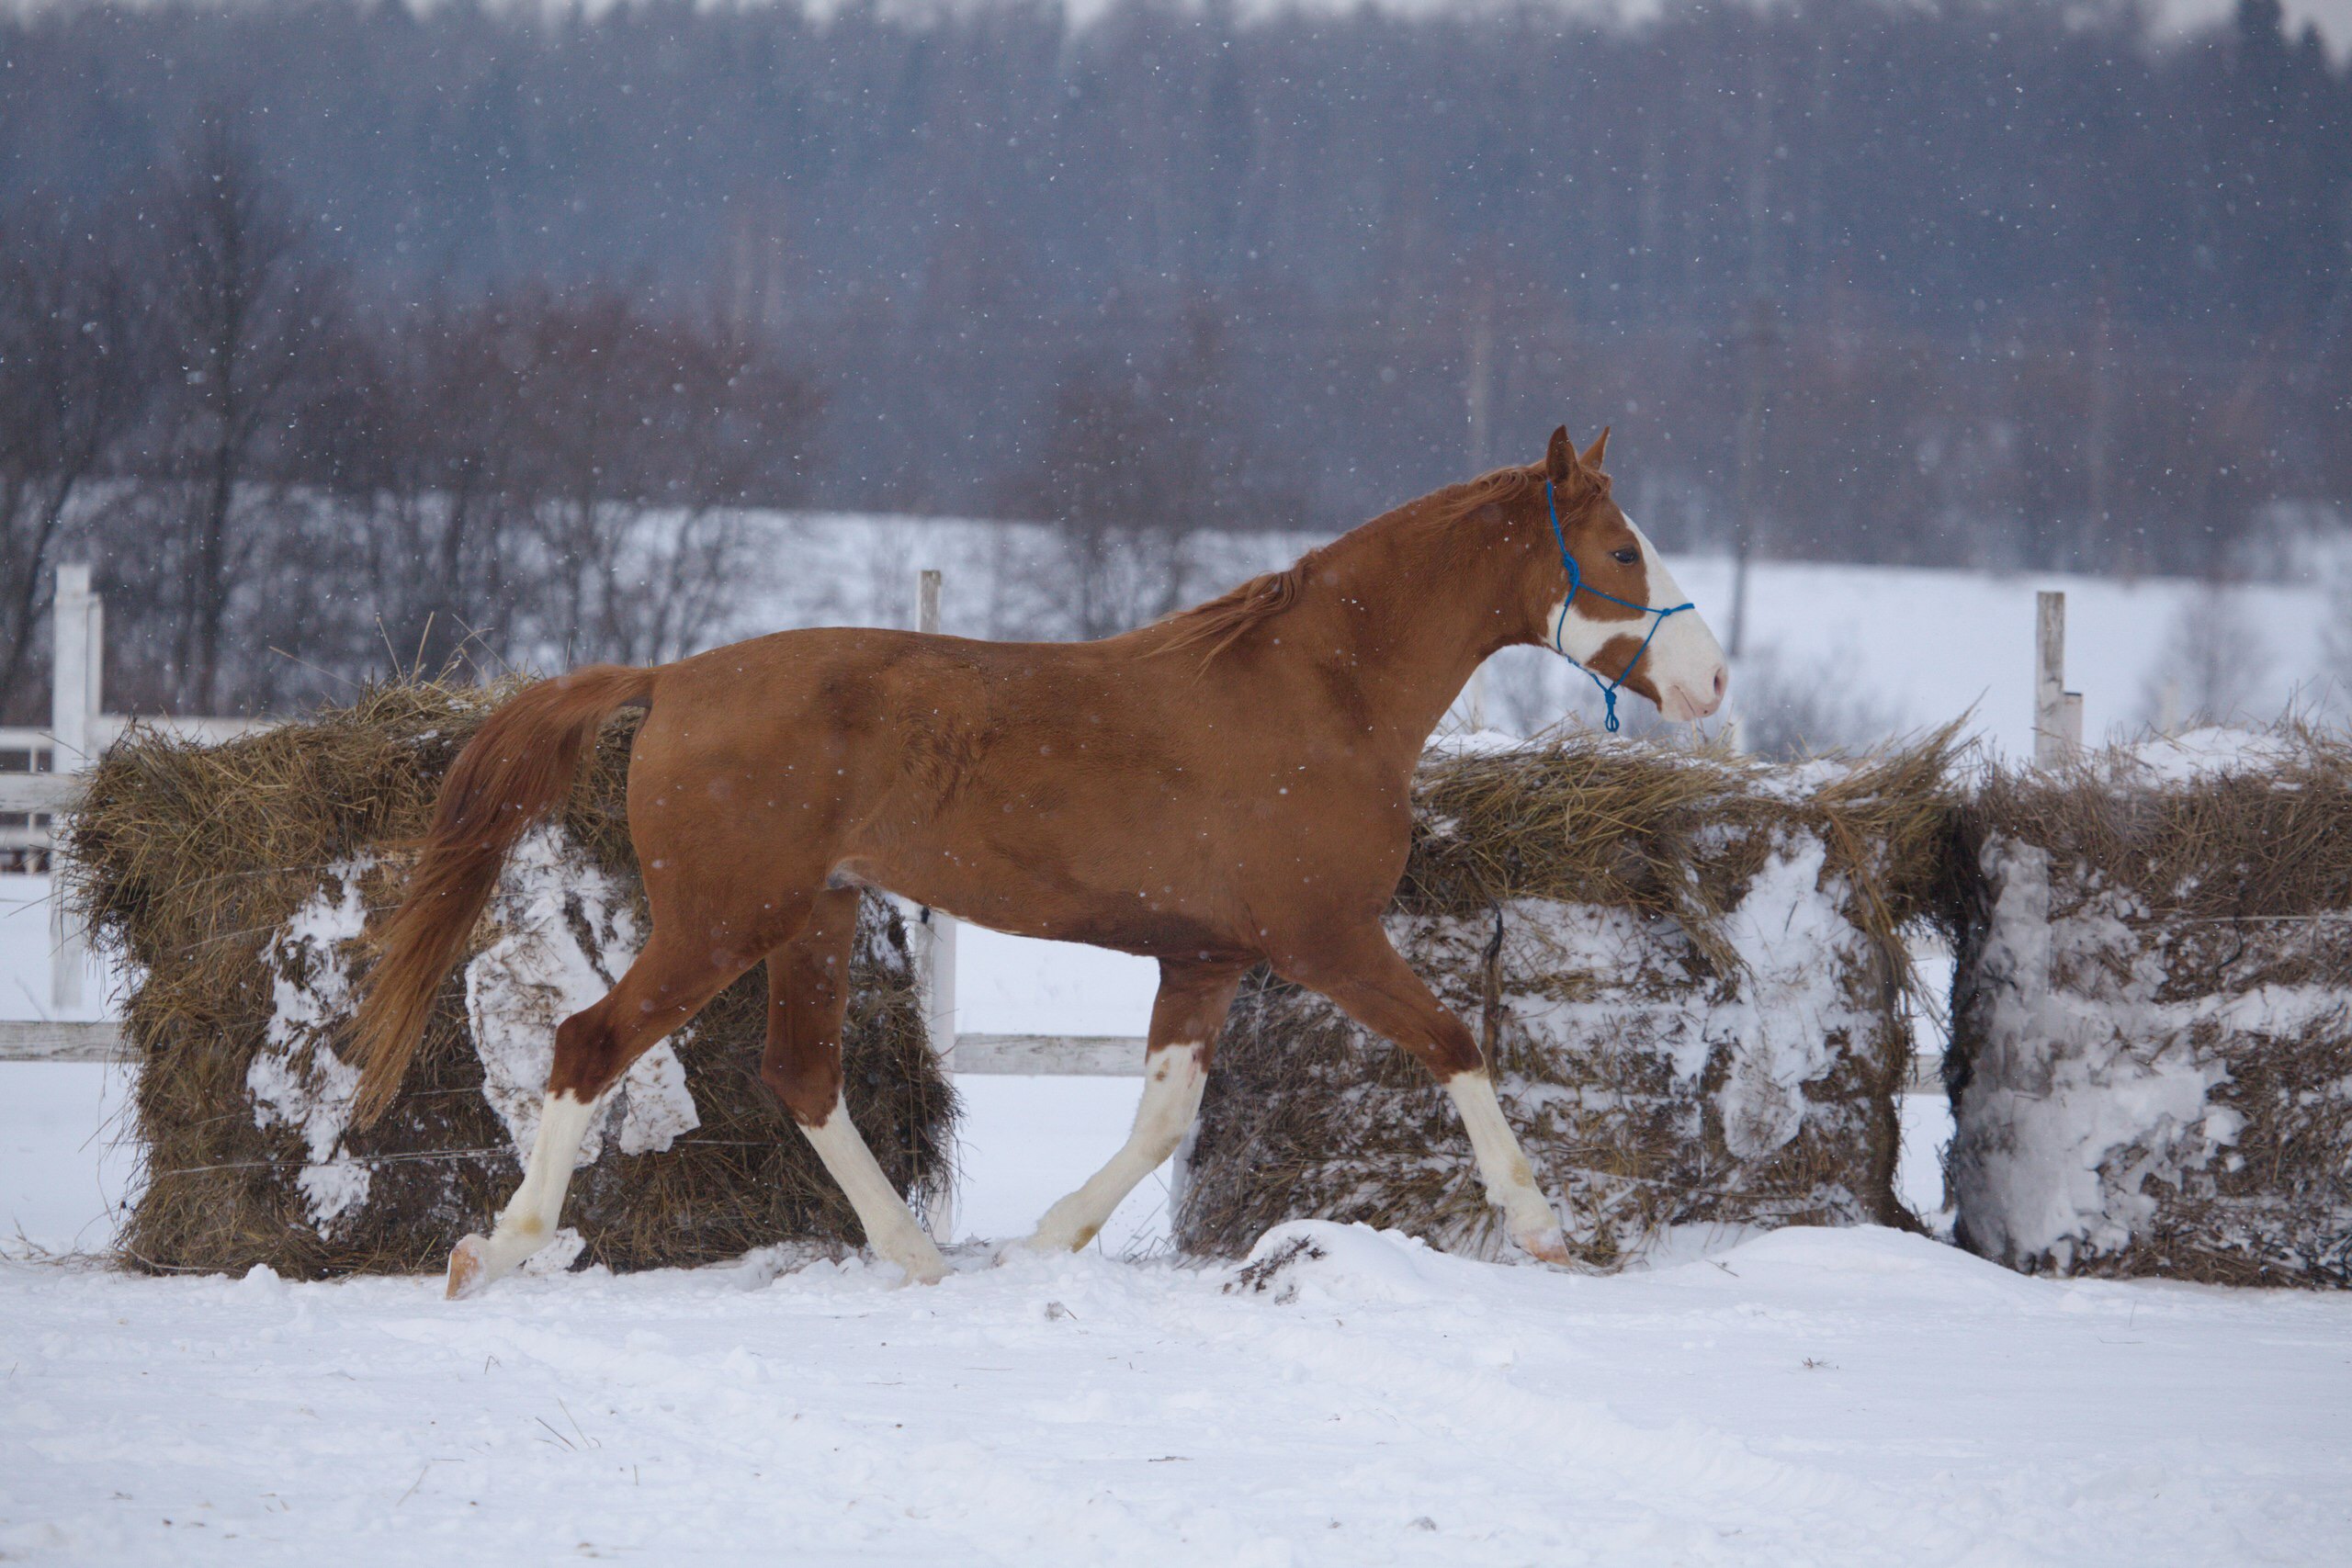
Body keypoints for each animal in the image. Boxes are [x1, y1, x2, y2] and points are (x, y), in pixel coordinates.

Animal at [349, 425, 1729, 1298]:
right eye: (1620, 552)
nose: (1713, 682)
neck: (1318, 694)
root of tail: (672, 678)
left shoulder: (1206, 956)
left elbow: (1163, 1112)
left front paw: (1044, 1241)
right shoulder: (1324, 937)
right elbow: (1454, 1043)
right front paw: (1542, 1226)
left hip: (815, 919)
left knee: (800, 1074)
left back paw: (915, 1259)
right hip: (720, 921)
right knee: (588, 1043)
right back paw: (496, 1248)